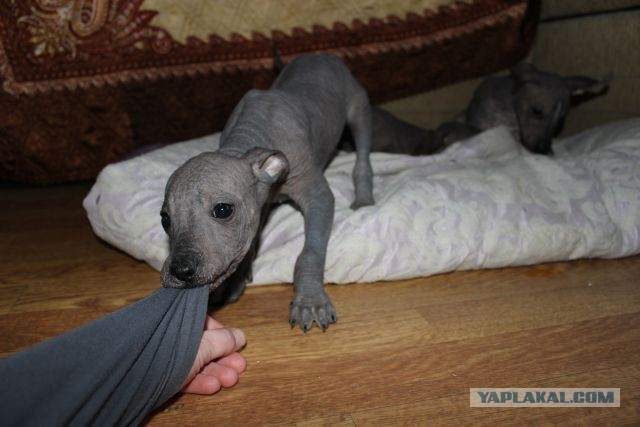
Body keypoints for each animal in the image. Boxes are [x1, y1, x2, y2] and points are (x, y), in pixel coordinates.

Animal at [160, 54, 374, 332]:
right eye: (165, 219)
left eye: (222, 210)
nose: (180, 270)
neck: (246, 140)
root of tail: (318, 55)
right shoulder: (259, 200)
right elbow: (250, 237)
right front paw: (236, 278)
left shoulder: (316, 193)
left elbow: (310, 252)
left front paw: (310, 301)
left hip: (358, 105)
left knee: (363, 152)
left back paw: (364, 197)